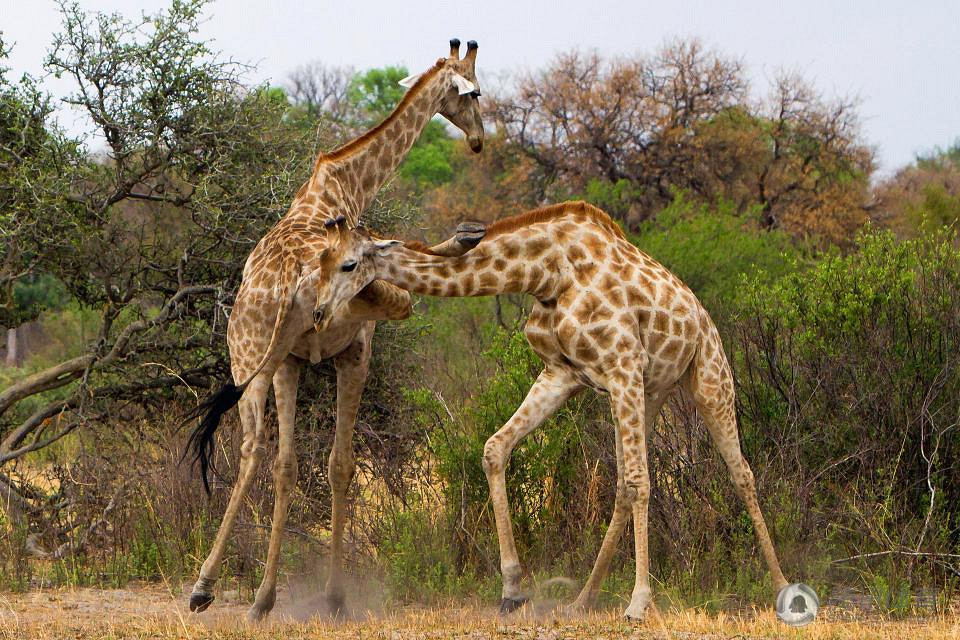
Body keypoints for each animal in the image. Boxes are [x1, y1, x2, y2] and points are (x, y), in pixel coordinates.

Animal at [183, 38, 488, 620]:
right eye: (474, 92)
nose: (480, 140)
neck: (344, 183)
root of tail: (288, 282)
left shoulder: (299, 358)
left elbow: (307, 465)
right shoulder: (355, 349)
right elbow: (342, 465)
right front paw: (335, 594)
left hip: (259, 363)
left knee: (267, 457)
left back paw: (236, 592)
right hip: (315, 346)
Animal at [316, 201, 796, 620]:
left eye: (348, 265)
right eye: (319, 261)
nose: (319, 313)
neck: (544, 271)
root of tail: (703, 315)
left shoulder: (621, 365)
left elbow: (643, 481)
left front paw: (640, 603)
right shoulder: (562, 373)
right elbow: (495, 448)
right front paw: (512, 590)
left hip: (708, 377)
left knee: (740, 474)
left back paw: (780, 587)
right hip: (649, 393)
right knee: (621, 485)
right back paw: (582, 600)